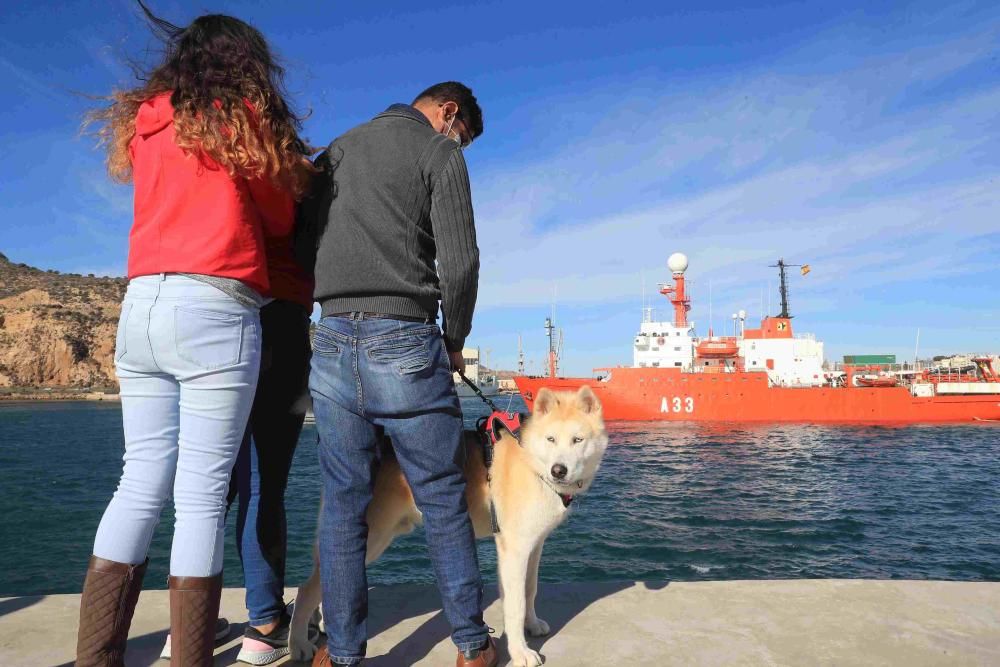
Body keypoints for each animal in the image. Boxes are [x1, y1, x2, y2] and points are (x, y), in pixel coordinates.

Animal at [290, 386, 608, 667]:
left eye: (578, 439)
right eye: (551, 439)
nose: (559, 470)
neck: (531, 459)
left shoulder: (534, 545)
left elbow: (530, 590)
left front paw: (532, 625)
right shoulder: (513, 550)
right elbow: (515, 604)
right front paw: (520, 652)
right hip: (373, 538)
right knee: (307, 589)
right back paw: (298, 645)